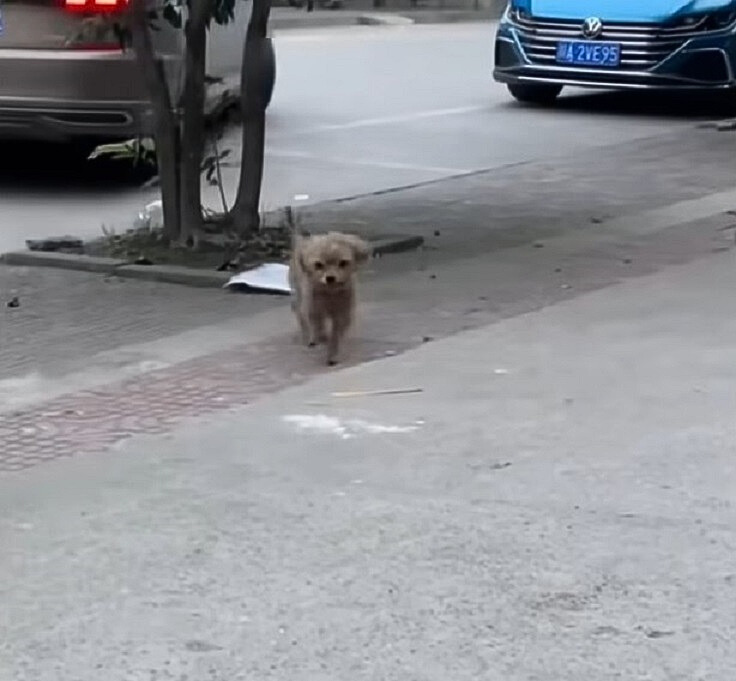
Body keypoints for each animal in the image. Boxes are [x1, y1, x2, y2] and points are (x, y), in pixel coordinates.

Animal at [288, 231, 370, 364]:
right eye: (318, 265)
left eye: (343, 263)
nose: (330, 278)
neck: (330, 293)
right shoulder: (314, 309)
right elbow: (318, 327)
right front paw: (322, 339)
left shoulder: (342, 313)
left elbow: (336, 334)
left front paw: (333, 353)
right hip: (299, 295)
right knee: (300, 314)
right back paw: (309, 337)